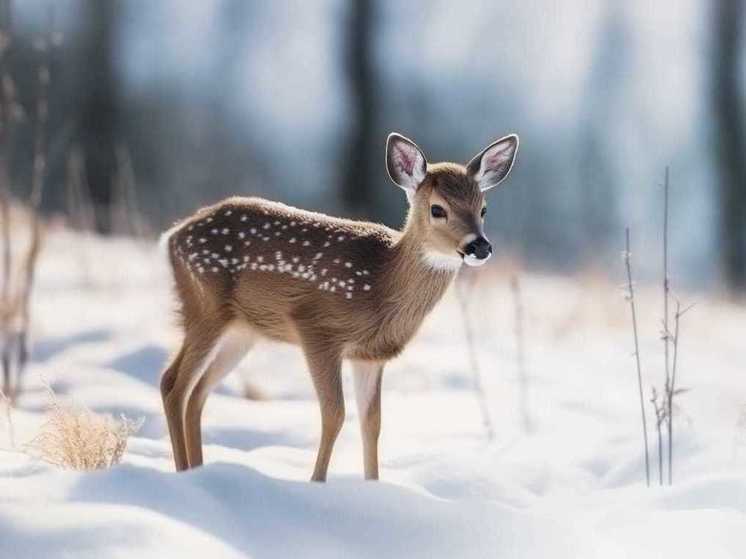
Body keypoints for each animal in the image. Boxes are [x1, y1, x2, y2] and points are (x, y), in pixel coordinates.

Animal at [158, 131, 516, 482]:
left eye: (483, 209)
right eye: (438, 209)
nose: (479, 246)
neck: (380, 282)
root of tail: (172, 235)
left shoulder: (369, 355)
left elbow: (372, 422)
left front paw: (372, 485)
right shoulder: (316, 327)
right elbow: (335, 414)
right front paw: (317, 483)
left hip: (243, 331)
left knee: (198, 392)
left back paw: (199, 472)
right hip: (206, 304)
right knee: (173, 384)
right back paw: (182, 474)